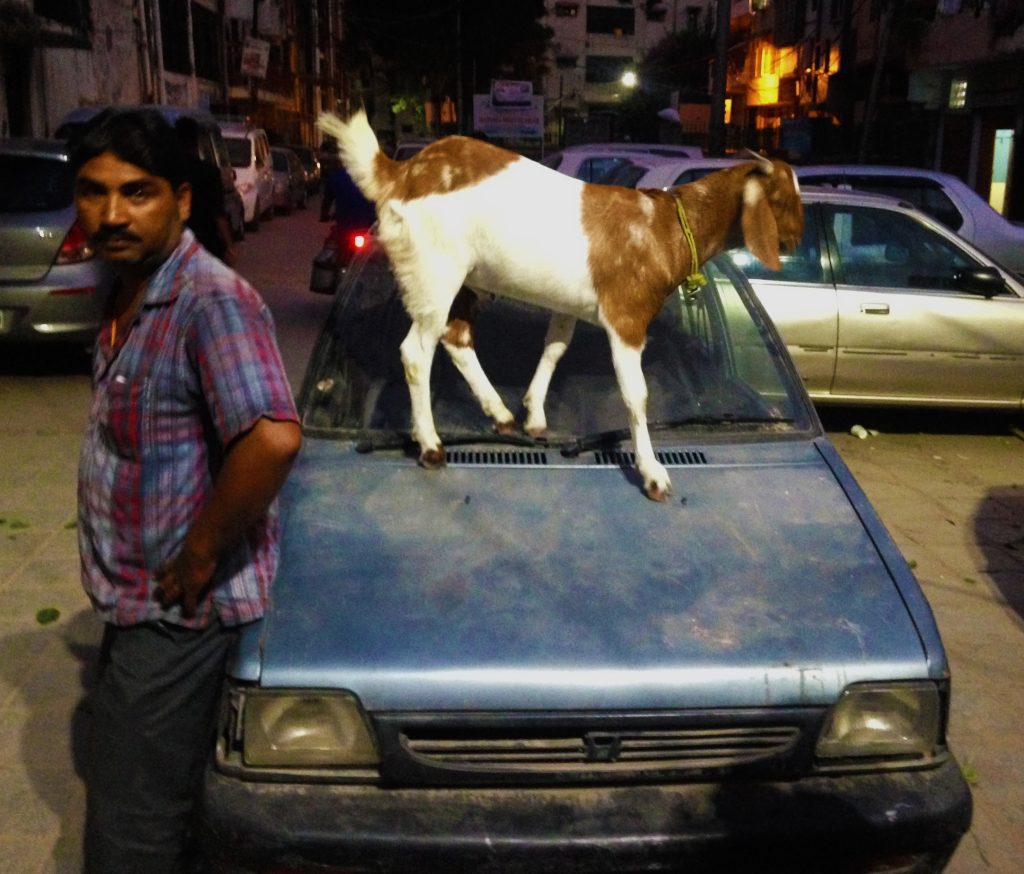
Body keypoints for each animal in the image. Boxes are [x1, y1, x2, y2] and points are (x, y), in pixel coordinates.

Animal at [315, 111, 802, 499]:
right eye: (782, 199)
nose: (796, 240)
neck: (664, 227)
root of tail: (401, 172)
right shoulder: (626, 317)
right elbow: (636, 395)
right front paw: (652, 473)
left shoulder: (570, 305)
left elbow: (555, 348)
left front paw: (533, 413)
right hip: (436, 270)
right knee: (417, 351)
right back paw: (432, 446)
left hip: (470, 278)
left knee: (455, 336)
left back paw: (499, 413)